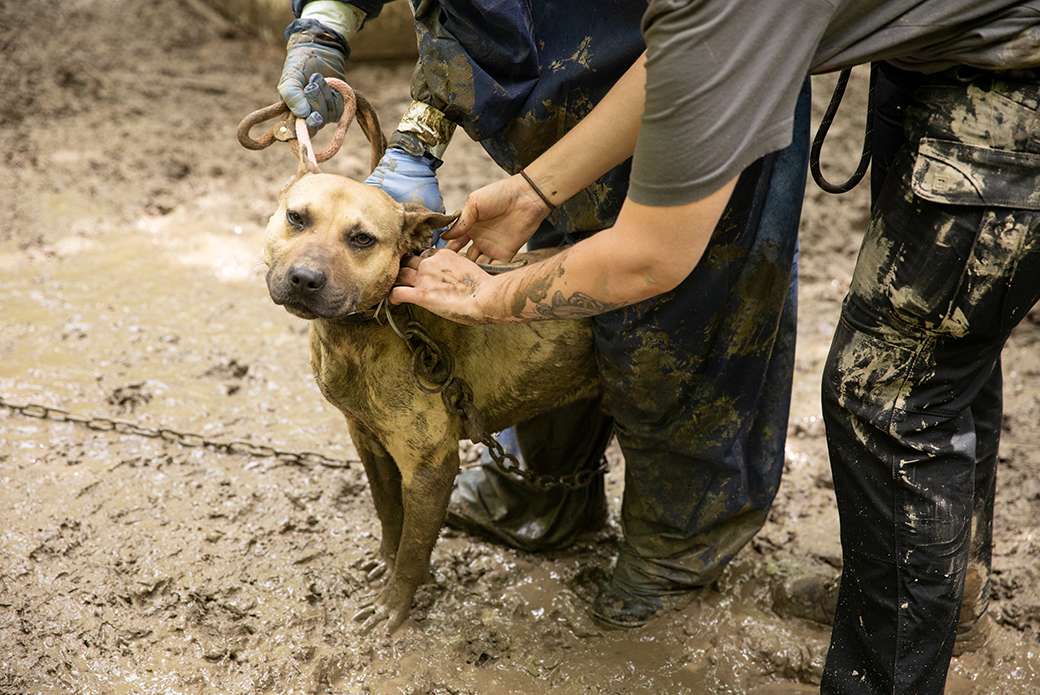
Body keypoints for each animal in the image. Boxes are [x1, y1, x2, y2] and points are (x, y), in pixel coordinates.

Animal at [262, 170, 603, 632]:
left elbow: (414, 546)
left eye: (362, 239)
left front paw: (393, 604)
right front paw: (384, 561)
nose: (304, 278)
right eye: (296, 217)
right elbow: (389, 513)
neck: (368, 329)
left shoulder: (429, 469)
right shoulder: (368, 441)